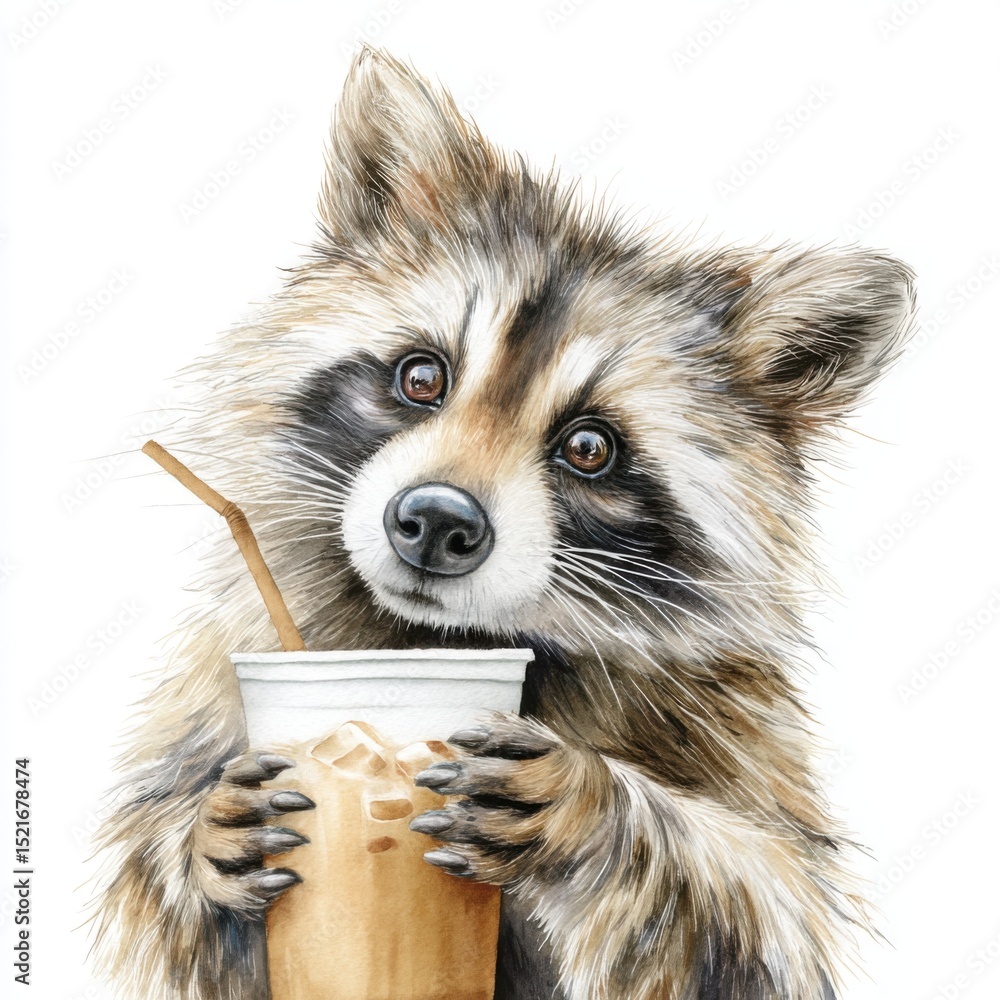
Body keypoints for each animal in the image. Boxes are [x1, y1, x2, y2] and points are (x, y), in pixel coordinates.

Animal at [93, 48, 915, 1000]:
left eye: (589, 447)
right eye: (421, 378)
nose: (434, 522)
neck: (441, 639)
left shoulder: (741, 731)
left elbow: (769, 913)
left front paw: (598, 809)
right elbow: (145, 884)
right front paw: (197, 841)